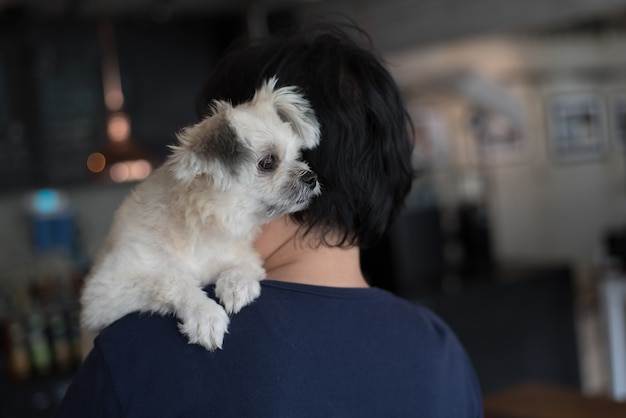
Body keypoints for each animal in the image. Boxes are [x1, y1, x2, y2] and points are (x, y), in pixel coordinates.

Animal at [80, 77, 320, 350]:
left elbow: (243, 266)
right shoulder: (104, 293)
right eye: (268, 162)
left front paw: (237, 283)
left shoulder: (244, 256)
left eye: (298, 156)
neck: (202, 228)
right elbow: (172, 278)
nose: (311, 177)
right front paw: (203, 313)